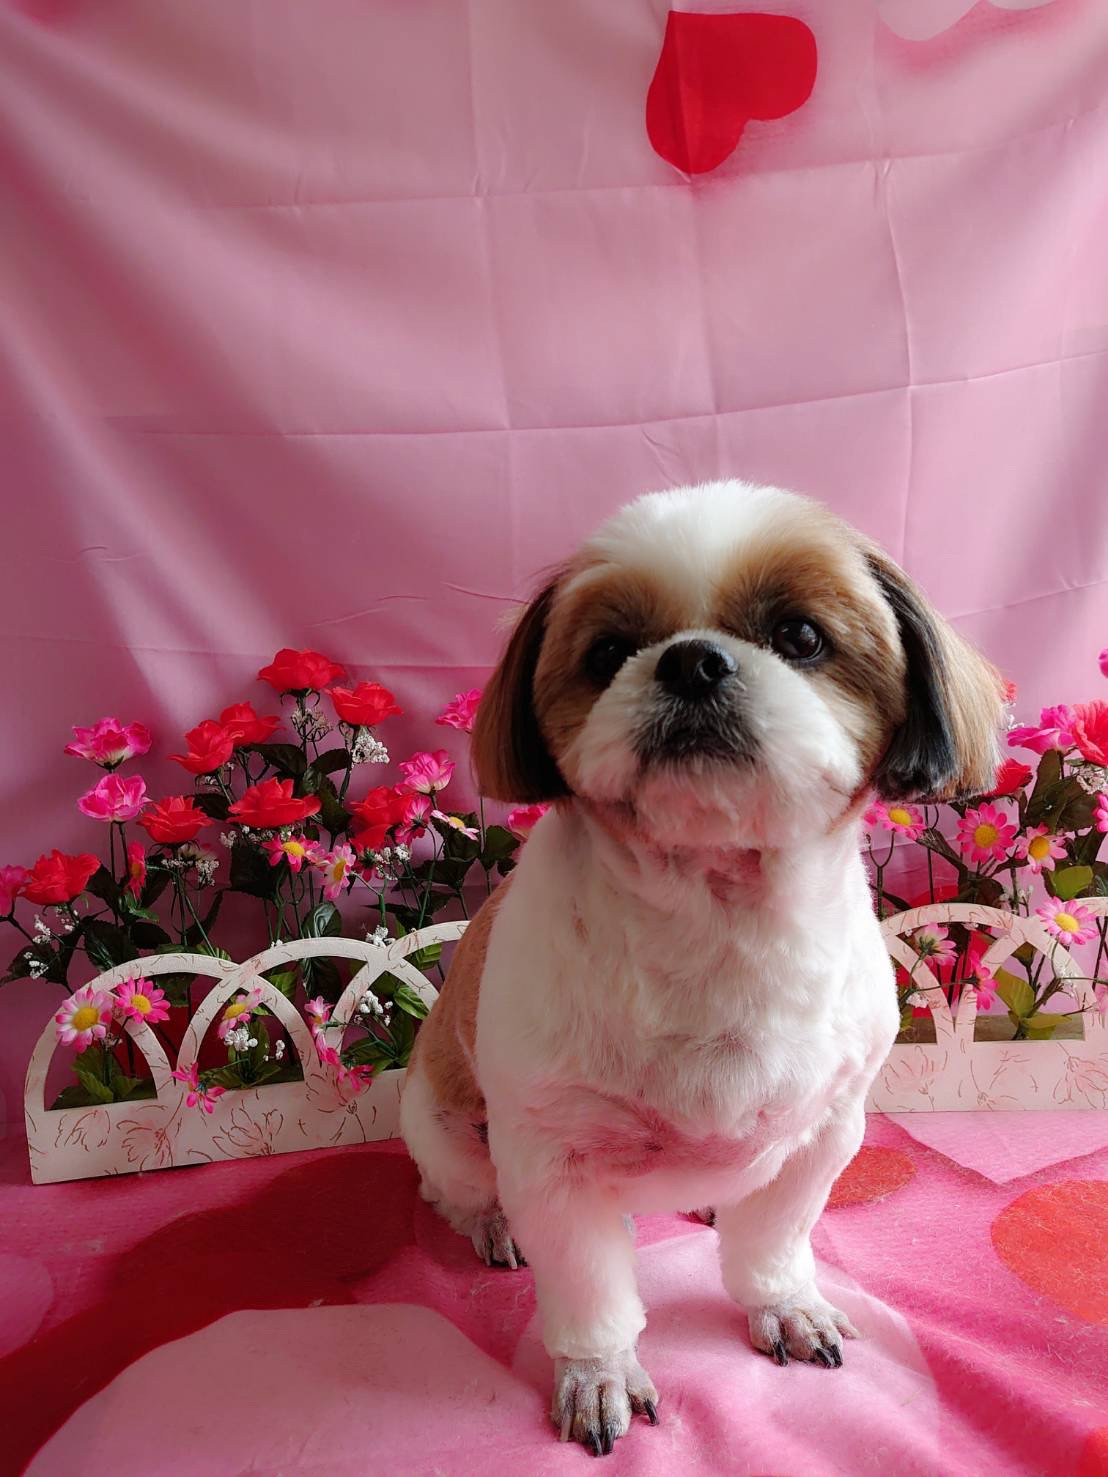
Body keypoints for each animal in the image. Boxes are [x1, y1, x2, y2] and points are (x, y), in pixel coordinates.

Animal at [400, 479, 1002, 1455]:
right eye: (608, 652)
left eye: (801, 636)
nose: (691, 663)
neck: (720, 921)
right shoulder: (555, 1158)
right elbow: (590, 1290)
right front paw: (597, 1374)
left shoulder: (827, 1127)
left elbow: (776, 1239)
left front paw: (786, 1303)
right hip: (445, 1125)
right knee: (456, 1188)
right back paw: (492, 1222)